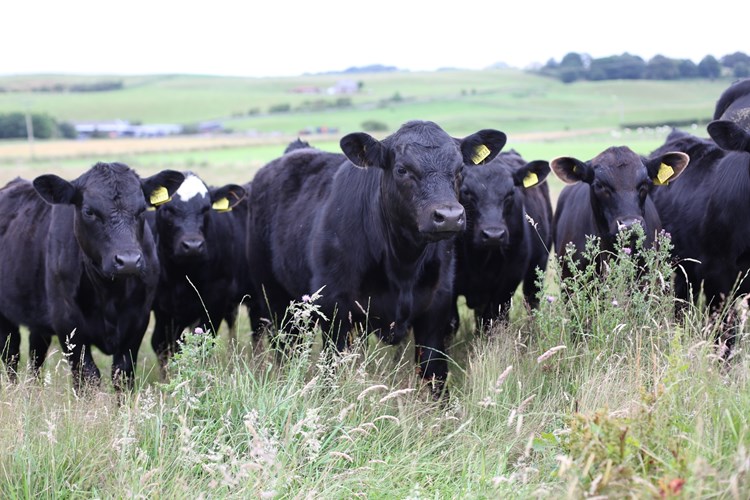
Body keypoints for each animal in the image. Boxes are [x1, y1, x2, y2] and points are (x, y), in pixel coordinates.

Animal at [0, 162, 184, 392]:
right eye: (89, 211)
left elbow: (122, 374)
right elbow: (88, 376)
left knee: (36, 353)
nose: (128, 261)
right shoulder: (67, 322)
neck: (110, 293)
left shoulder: (138, 320)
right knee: (11, 354)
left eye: (142, 209)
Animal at [149, 172, 247, 372]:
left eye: (206, 208)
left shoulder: (215, 303)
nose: (193, 245)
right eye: (167, 209)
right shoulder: (163, 310)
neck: (182, 276)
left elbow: (203, 344)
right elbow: (162, 345)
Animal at [246, 120, 507, 397]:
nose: (448, 216)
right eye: (402, 169)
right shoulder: (334, 310)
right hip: (275, 298)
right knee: (287, 347)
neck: (403, 265)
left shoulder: (437, 307)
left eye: (460, 169)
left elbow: (434, 372)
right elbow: (332, 371)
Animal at [454, 150, 553, 329]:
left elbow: (495, 318)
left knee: (531, 302)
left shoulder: (509, 278)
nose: (493, 235)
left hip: (538, 265)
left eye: (510, 193)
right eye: (467, 192)